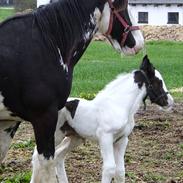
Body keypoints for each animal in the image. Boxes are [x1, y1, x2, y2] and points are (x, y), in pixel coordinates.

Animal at [0, 0, 143, 182]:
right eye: (122, 6)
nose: (138, 42)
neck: (46, 44)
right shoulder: (44, 117)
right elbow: (47, 165)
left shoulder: (8, 121)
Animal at [32, 55, 174, 183]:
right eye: (158, 82)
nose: (170, 101)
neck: (118, 106)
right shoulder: (105, 138)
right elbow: (110, 168)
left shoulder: (122, 140)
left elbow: (120, 171)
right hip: (55, 135)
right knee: (38, 157)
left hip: (75, 138)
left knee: (59, 156)